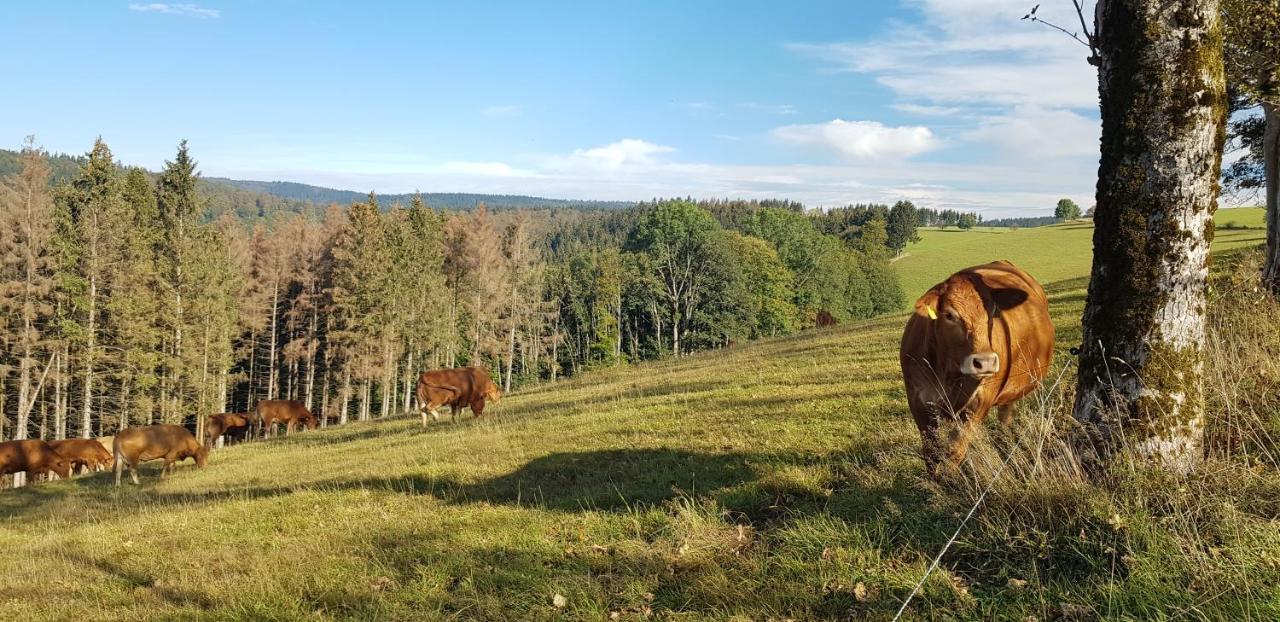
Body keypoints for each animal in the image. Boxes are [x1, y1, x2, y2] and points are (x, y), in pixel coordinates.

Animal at [896, 258, 1054, 470]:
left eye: (993, 312)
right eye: (949, 315)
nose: (985, 362)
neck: (946, 372)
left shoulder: (981, 402)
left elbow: (955, 452)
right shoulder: (918, 401)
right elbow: (931, 454)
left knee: (1005, 417)